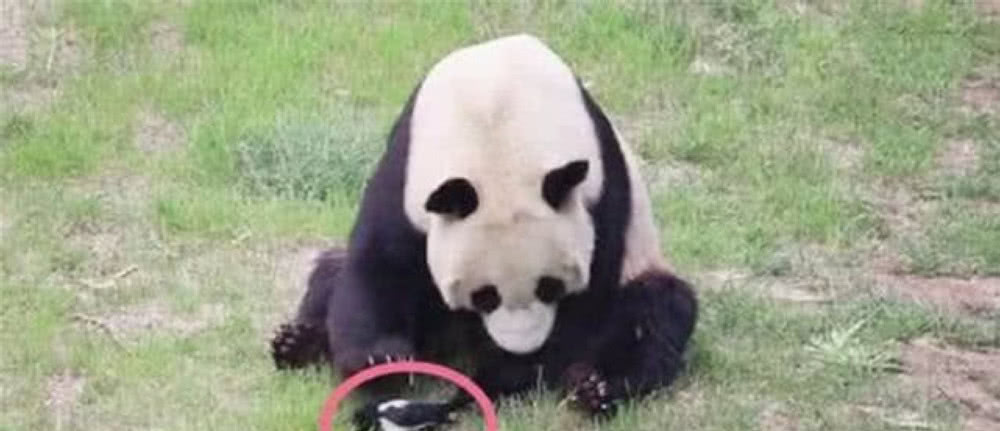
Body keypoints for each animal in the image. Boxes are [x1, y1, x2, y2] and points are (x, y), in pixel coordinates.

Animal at [271, 34, 698, 419]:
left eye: (550, 287)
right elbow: (380, 260)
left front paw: (503, 376)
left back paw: (596, 387)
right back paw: (297, 343)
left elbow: (590, 298)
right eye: (485, 296)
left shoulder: (599, 188)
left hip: (643, 262)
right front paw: (382, 362)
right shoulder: (407, 167)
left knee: (656, 311)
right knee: (330, 271)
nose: (521, 346)